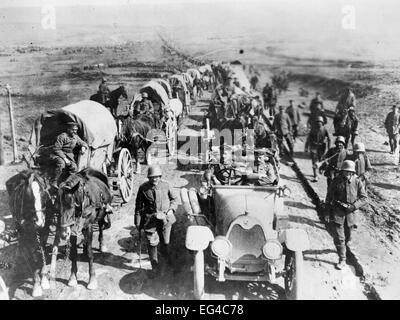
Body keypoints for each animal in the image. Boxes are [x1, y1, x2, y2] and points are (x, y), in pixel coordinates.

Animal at [5, 170, 60, 298]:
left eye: (44, 194)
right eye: (27, 197)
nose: (39, 221)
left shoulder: (45, 229)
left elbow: (42, 250)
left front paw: (44, 280)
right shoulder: (25, 234)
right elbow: (32, 257)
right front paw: (37, 286)